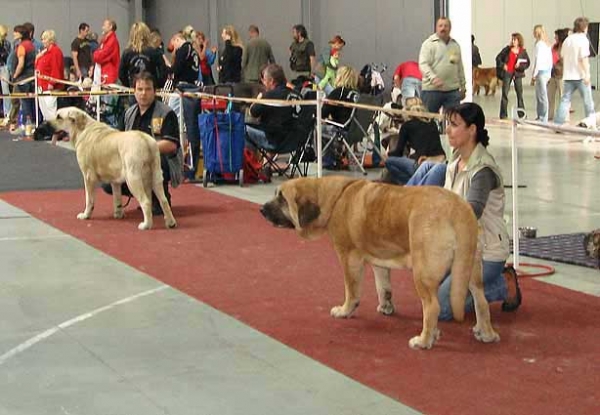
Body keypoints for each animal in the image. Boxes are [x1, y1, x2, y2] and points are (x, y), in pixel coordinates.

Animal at [38, 107, 176, 231]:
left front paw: (86, 215)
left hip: (133, 178)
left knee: (146, 202)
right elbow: (117, 197)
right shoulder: (115, 181)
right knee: (163, 200)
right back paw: (170, 223)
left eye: (59, 117)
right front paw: (118, 214)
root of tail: (145, 140)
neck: (81, 130)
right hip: (155, 176)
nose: (45, 123)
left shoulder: (88, 176)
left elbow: (89, 199)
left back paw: (146, 225)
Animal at [260, 177, 500, 350]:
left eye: (281, 198)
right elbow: (383, 287)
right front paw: (386, 307)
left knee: (432, 306)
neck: (332, 198)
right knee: (481, 301)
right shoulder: (379, 262)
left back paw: (423, 340)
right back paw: (486, 333)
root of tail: (460, 209)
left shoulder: (348, 257)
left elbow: (352, 290)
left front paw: (344, 310)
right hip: (471, 269)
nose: (261, 209)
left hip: (423, 273)